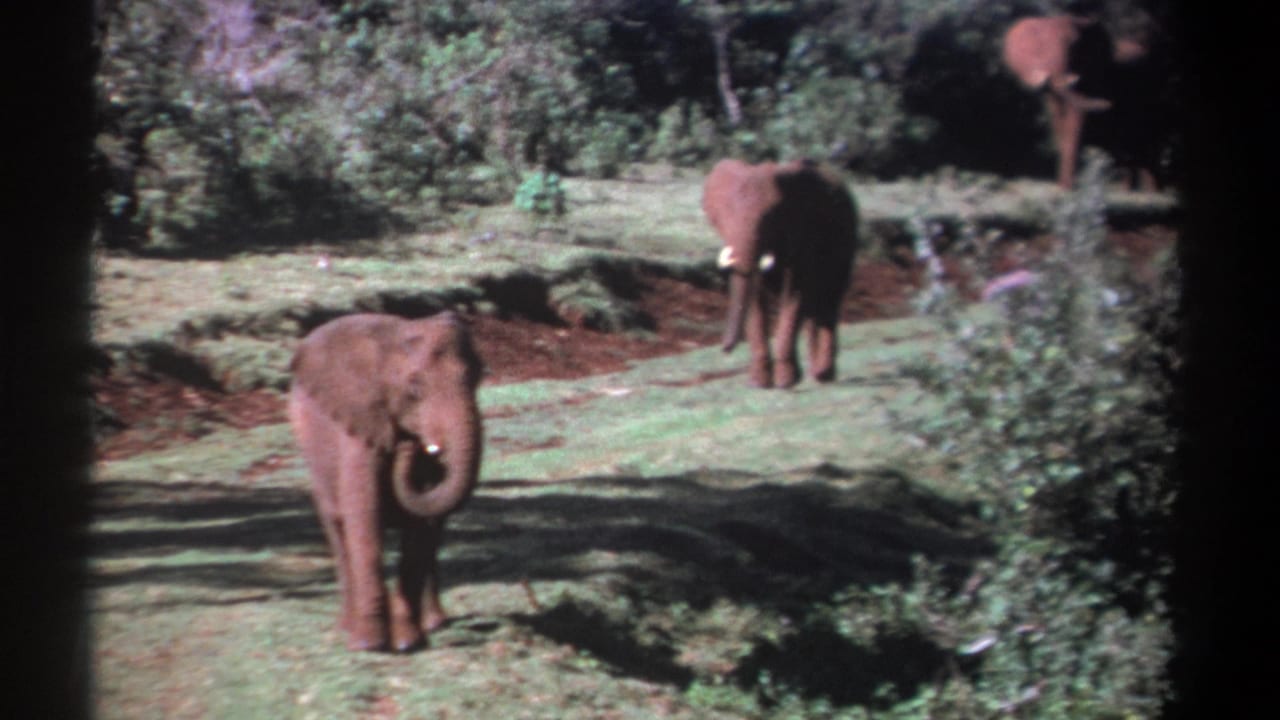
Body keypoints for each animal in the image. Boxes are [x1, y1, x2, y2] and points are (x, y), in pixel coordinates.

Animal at [288, 311, 483, 652]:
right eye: (415, 388)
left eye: (477, 378)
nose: (409, 445)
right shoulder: (357, 426)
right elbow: (363, 518)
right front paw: (371, 644)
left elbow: (420, 528)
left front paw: (407, 642)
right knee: (337, 529)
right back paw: (347, 627)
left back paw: (433, 623)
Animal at [703, 158, 859, 389]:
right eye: (724, 216)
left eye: (770, 217)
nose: (725, 349)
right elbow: (755, 297)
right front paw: (758, 383)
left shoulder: (804, 233)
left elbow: (796, 290)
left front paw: (786, 382)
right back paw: (816, 374)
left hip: (847, 241)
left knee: (829, 299)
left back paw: (823, 375)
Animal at [1002, 8, 1164, 190]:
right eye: (1040, 49)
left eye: (1074, 47)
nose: (1108, 104)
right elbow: (1058, 118)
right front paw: (1064, 188)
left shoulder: (1091, 75)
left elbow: (1077, 117)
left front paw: (1067, 188)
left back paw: (1149, 192)